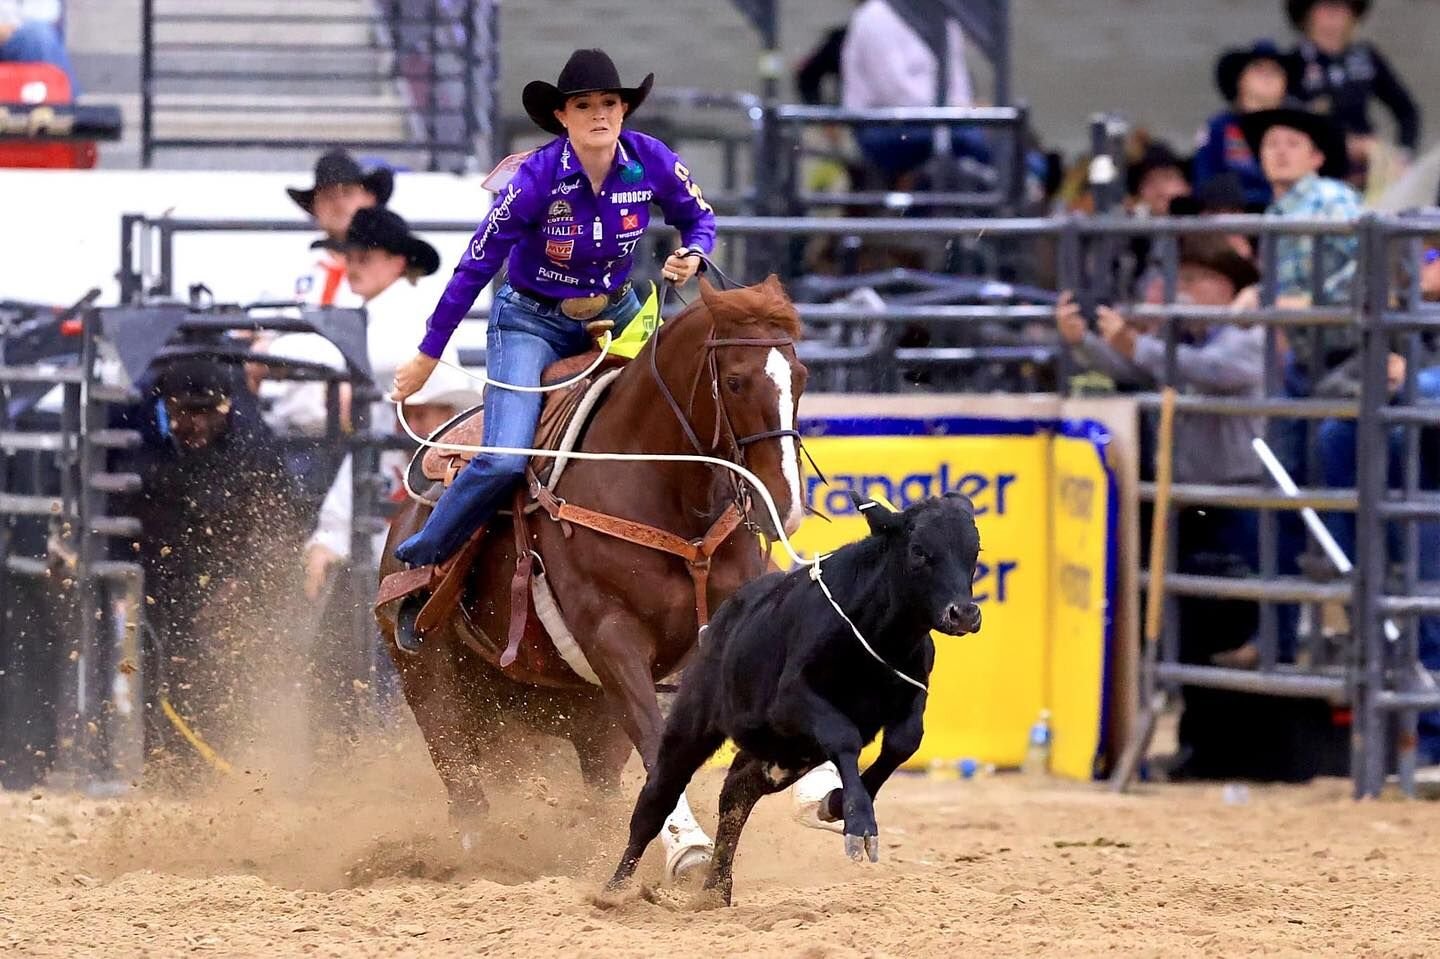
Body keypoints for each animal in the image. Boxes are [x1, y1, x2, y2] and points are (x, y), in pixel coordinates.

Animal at [380, 275, 812, 875]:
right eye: (736, 381)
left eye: (800, 377)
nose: (786, 504)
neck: (671, 500)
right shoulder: (612, 636)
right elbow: (657, 738)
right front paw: (689, 848)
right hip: (434, 693)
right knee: (465, 791)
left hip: (582, 717)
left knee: (599, 787)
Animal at [601, 489, 984, 898]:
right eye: (919, 551)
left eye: (974, 551)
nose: (964, 613)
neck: (875, 637)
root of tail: (720, 620)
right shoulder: (791, 700)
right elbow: (844, 737)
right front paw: (859, 823)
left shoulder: (912, 697)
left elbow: (903, 743)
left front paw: (835, 803)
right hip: (690, 728)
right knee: (656, 802)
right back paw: (614, 891)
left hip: (781, 757)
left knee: (737, 793)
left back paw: (716, 890)